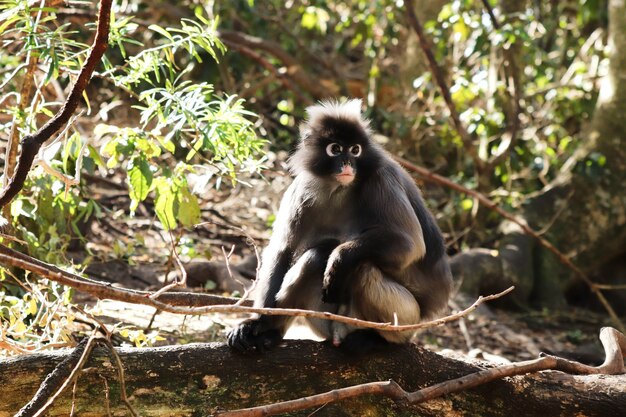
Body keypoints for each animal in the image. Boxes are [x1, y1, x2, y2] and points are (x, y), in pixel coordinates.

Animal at [227, 99, 450, 352]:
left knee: (362, 267)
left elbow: (410, 244)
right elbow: (283, 250)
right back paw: (271, 333)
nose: (347, 163)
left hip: (405, 318)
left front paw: (339, 259)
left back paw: (377, 338)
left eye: (355, 150)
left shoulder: (383, 178)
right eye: (335, 149)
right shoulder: (302, 188)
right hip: (323, 319)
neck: (339, 189)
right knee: (314, 258)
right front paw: (258, 323)